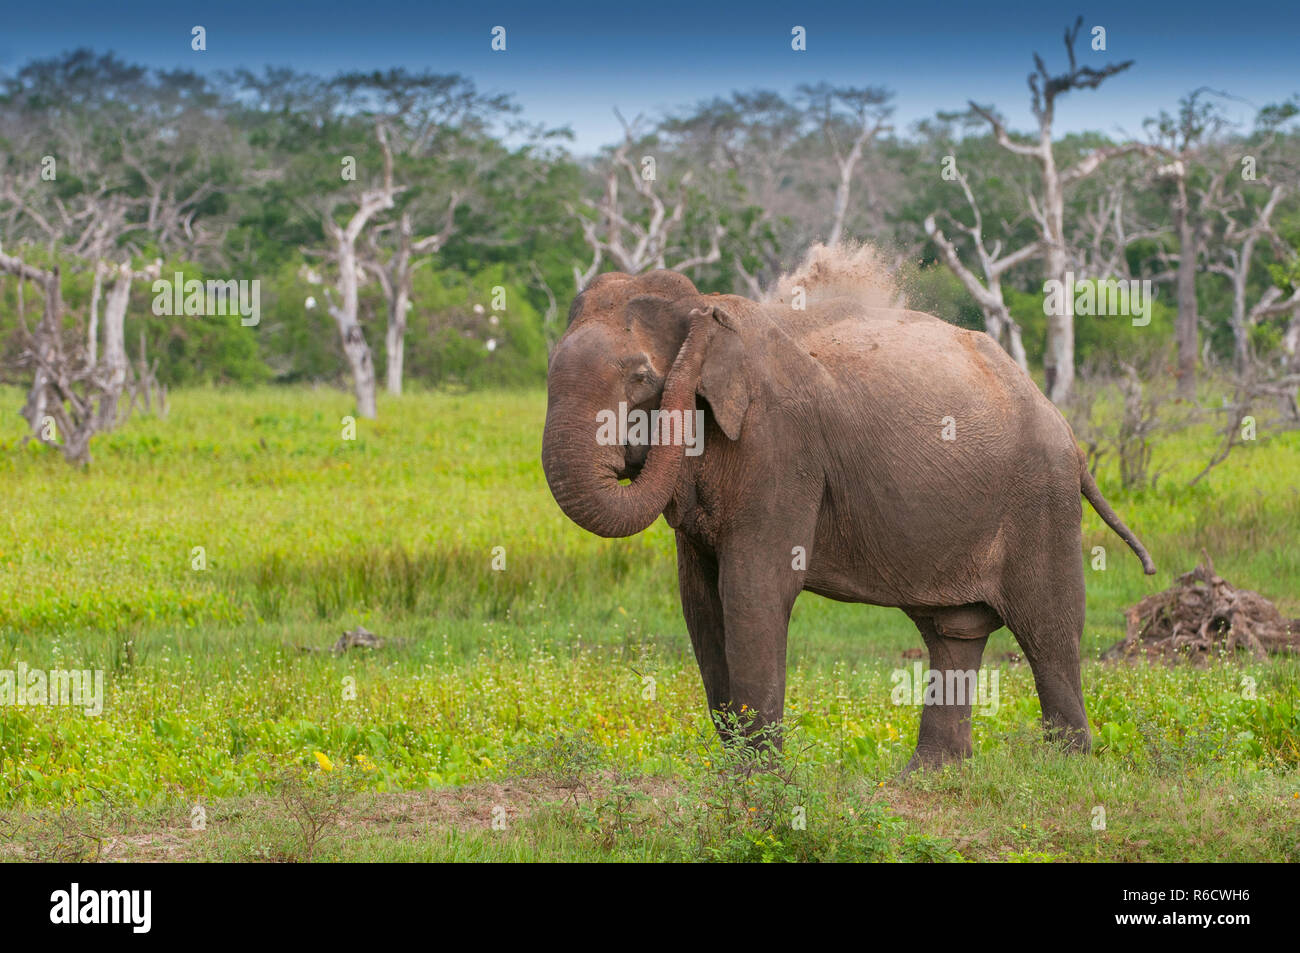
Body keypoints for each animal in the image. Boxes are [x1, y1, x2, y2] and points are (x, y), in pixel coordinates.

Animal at [540, 266, 1156, 772]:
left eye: (641, 379)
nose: (706, 316)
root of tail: (1067, 431)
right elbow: (701, 602)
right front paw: (737, 774)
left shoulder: (780, 448)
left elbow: (754, 587)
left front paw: (760, 783)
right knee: (953, 630)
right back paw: (930, 775)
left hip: (1040, 498)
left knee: (1047, 626)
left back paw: (1064, 768)